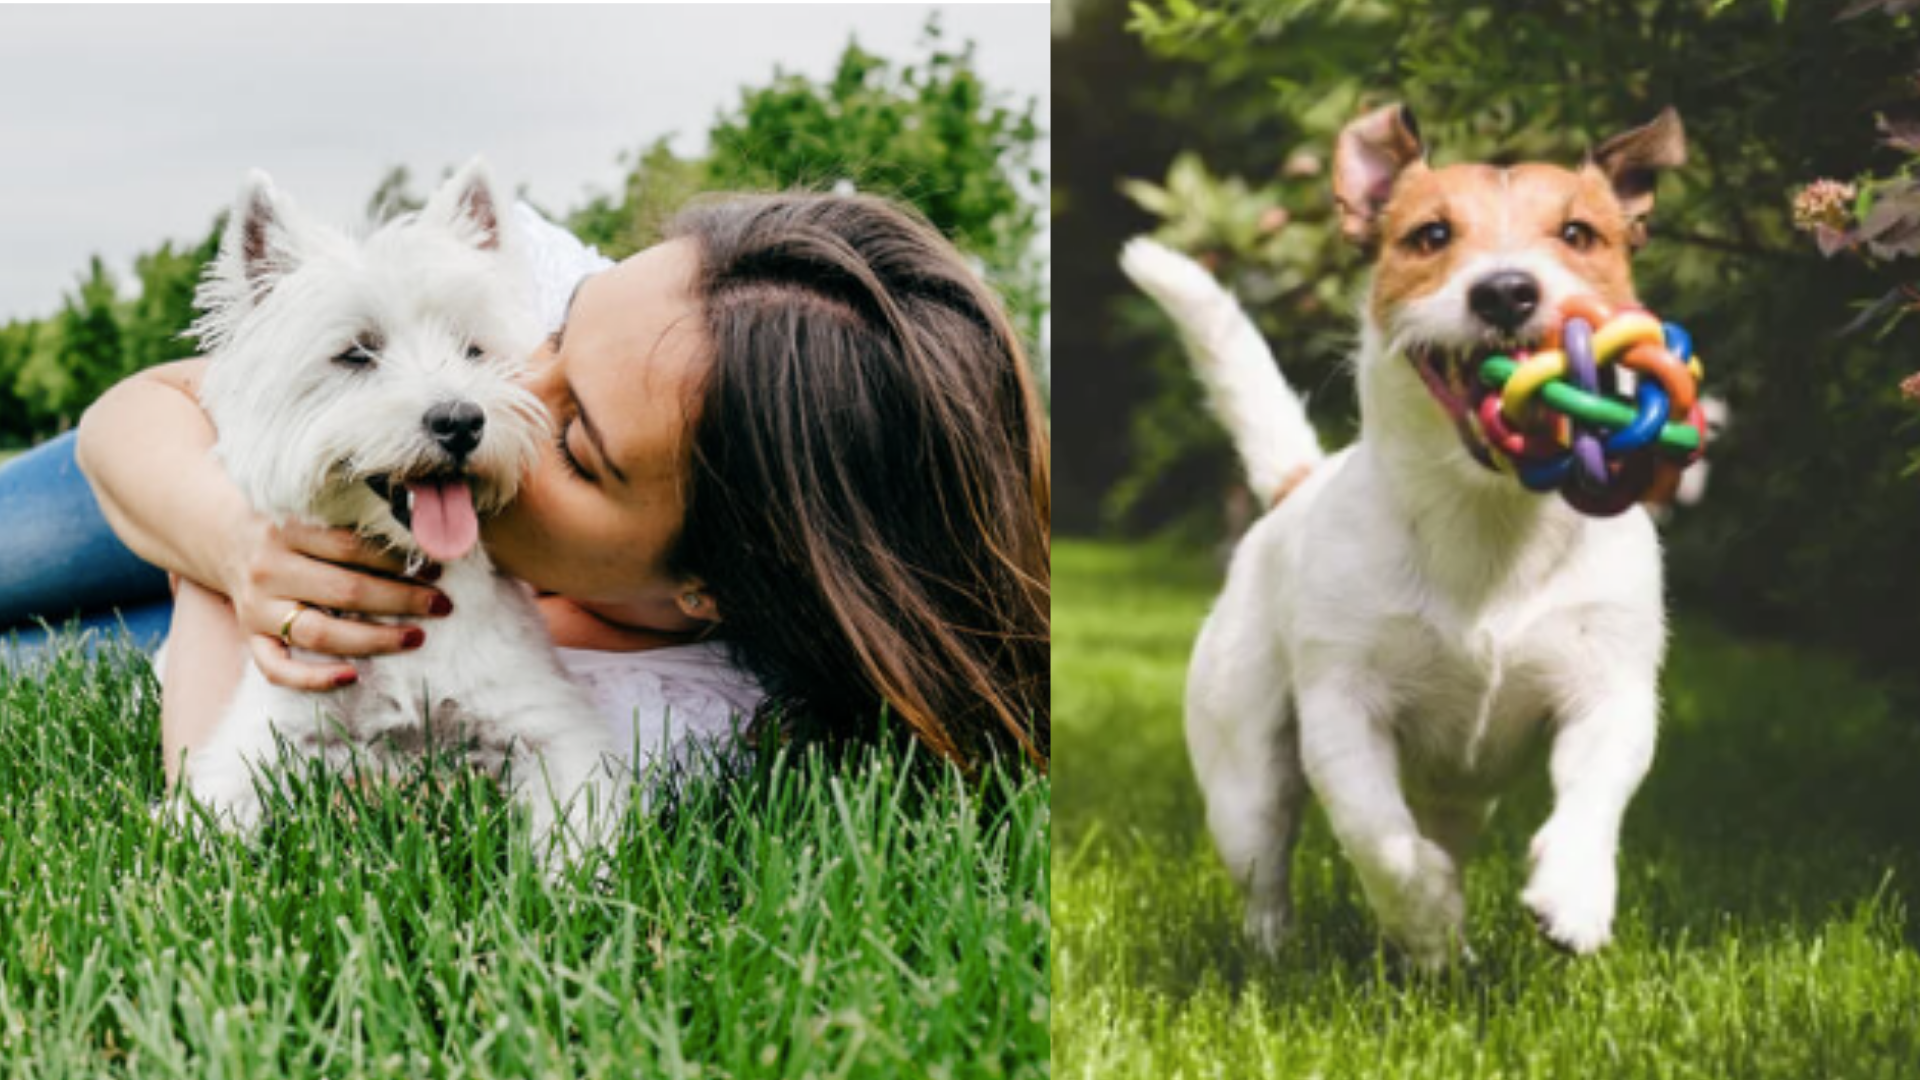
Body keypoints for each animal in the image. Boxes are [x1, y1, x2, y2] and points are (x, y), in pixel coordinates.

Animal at [184, 157, 625, 857]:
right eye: (356, 353)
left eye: (473, 349)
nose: (460, 420)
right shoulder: (267, 732)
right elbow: (203, 822)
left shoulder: (550, 724)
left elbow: (577, 827)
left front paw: (569, 879)